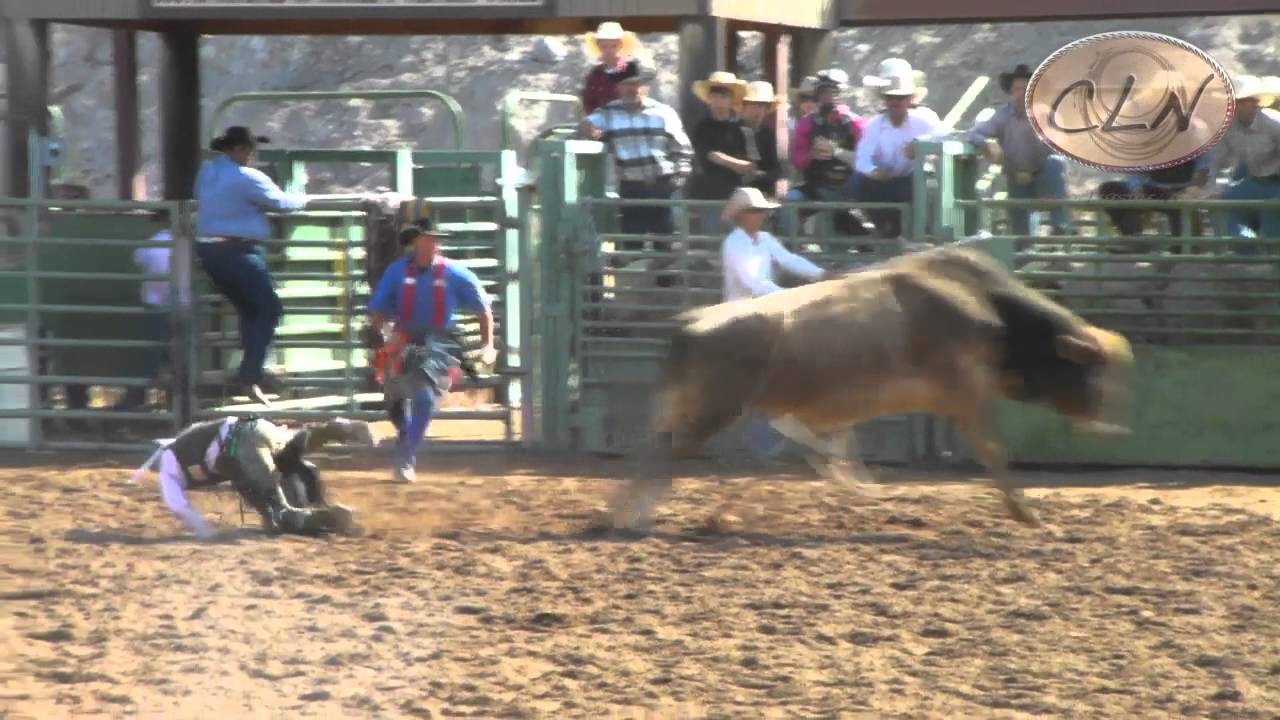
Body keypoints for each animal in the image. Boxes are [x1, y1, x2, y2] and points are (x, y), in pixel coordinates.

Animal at [610, 244, 1135, 530]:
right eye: (1090, 374)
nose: (1109, 429)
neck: (986, 307)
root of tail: (690, 324)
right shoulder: (962, 393)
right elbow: (992, 452)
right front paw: (1026, 513)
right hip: (709, 412)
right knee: (662, 457)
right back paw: (628, 516)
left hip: (698, 411)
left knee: (654, 451)